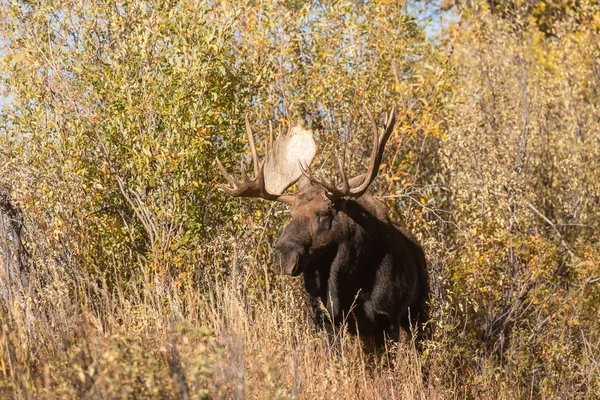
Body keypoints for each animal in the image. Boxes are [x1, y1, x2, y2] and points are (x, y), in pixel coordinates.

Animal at [218, 108, 428, 346]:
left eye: (325, 213)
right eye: (290, 214)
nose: (284, 256)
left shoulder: (388, 318)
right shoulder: (325, 318)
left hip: (419, 312)